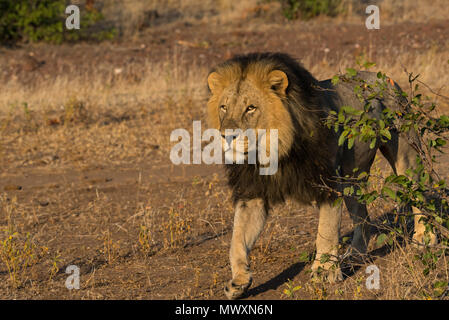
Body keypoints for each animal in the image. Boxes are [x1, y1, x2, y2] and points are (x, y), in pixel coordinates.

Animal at [207, 51, 438, 298]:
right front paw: (238, 282)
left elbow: (325, 232)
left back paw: (425, 237)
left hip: (405, 155)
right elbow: (237, 239)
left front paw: (325, 272)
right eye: (223, 107)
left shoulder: (328, 183)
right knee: (363, 219)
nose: (226, 137)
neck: (276, 149)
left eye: (251, 108)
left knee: (419, 194)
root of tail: (385, 78)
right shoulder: (252, 193)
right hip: (351, 177)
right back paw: (355, 256)